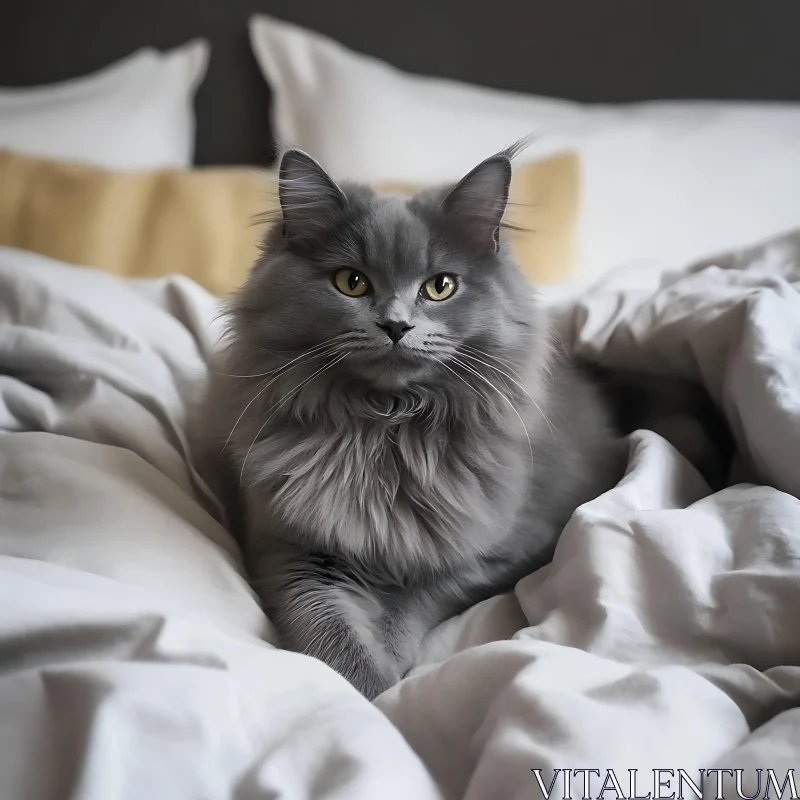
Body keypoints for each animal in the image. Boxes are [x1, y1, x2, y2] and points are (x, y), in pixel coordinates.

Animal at [202, 145, 732, 700]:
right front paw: (369, 691)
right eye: (351, 282)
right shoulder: (289, 549)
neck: (388, 429)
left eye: (440, 287)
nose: (396, 325)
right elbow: (328, 632)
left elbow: (411, 602)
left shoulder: (501, 553)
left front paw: (390, 673)